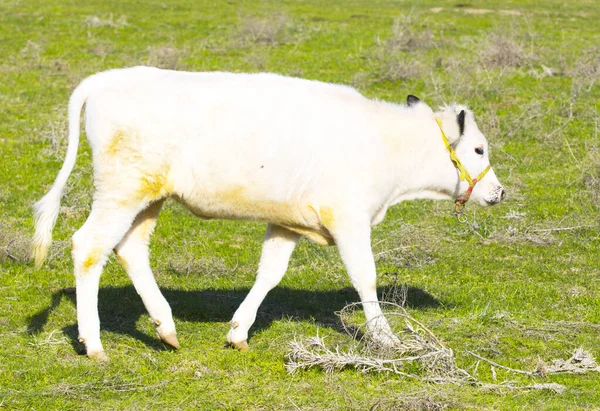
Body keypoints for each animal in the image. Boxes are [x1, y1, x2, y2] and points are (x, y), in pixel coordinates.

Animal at [31, 67, 502, 360]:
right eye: (479, 149)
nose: (498, 191)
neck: (384, 144)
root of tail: (105, 79)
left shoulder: (287, 221)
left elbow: (270, 274)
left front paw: (239, 331)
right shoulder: (349, 218)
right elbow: (365, 277)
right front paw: (386, 338)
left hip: (148, 197)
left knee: (129, 249)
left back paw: (166, 328)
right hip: (121, 191)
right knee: (88, 247)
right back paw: (94, 343)